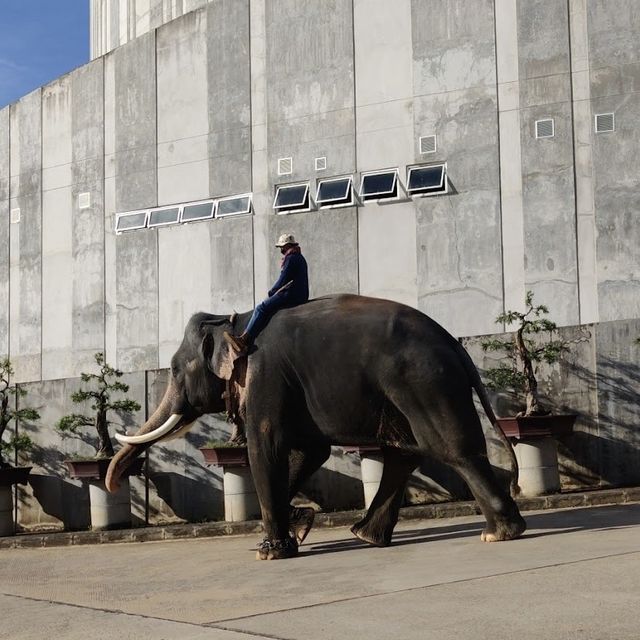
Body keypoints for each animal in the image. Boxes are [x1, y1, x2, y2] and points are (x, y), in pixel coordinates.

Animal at [106, 296, 524, 560]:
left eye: (176, 369)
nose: (113, 483)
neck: (235, 321)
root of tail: (455, 342)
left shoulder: (266, 378)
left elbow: (264, 447)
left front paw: (270, 552)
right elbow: (310, 451)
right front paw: (300, 525)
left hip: (423, 381)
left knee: (451, 449)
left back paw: (499, 533)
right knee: (402, 453)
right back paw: (366, 537)